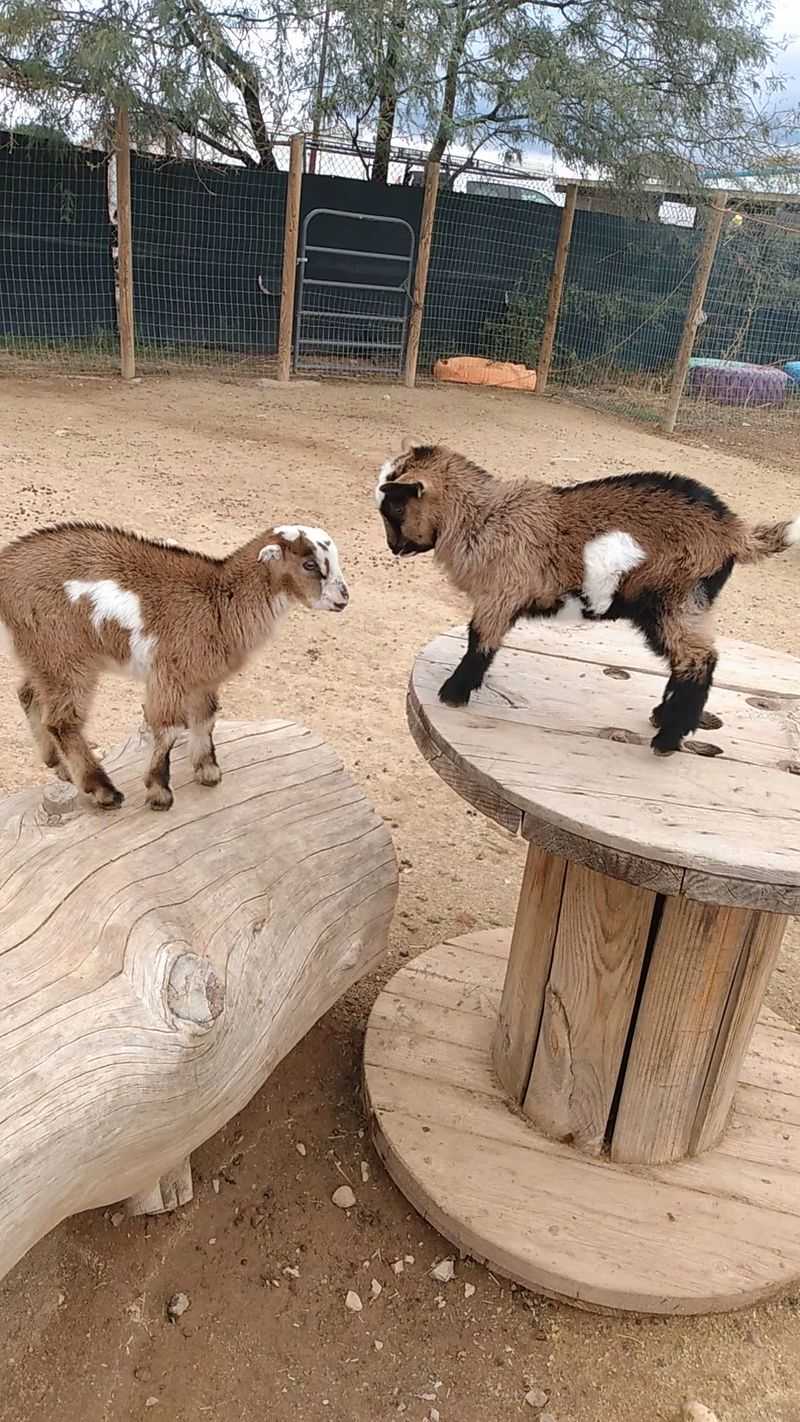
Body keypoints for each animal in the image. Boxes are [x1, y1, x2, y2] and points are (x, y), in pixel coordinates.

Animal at [0, 521, 348, 810]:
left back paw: (59, 766)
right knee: (62, 721)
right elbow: (168, 729)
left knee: (29, 695)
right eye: (309, 564)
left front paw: (208, 771)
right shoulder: (168, 673)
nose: (343, 599)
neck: (218, 600)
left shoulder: (202, 679)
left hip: (43, 655)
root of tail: (6, 567)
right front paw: (159, 792)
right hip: (64, 653)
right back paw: (103, 790)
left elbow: (206, 719)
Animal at [375, 444, 800, 755]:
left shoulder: (501, 595)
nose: (394, 548)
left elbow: (480, 643)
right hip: (680, 605)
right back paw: (662, 718)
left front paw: (453, 693)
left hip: (675, 599)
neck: (484, 517)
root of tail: (735, 532)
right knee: (690, 660)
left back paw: (666, 740)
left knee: (698, 660)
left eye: (394, 506)